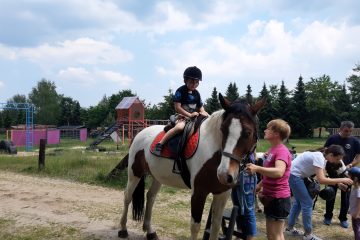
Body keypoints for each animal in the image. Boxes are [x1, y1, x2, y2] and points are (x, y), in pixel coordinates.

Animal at [117, 94, 264, 240]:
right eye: (223, 129)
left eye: (248, 133)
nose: (224, 174)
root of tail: (139, 133)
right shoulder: (199, 192)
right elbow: (195, 226)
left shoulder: (222, 194)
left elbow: (215, 226)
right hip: (134, 173)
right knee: (127, 196)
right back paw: (123, 229)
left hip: (157, 176)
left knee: (151, 197)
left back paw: (150, 231)